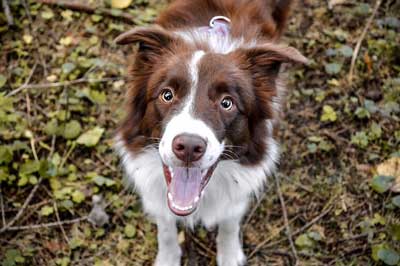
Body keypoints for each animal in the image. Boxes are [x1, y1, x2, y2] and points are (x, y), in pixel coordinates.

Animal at [114, 1, 308, 264]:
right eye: (167, 94)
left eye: (227, 103)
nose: (188, 147)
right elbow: (165, 226)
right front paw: (168, 257)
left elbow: (230, 219)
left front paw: (229, 254)